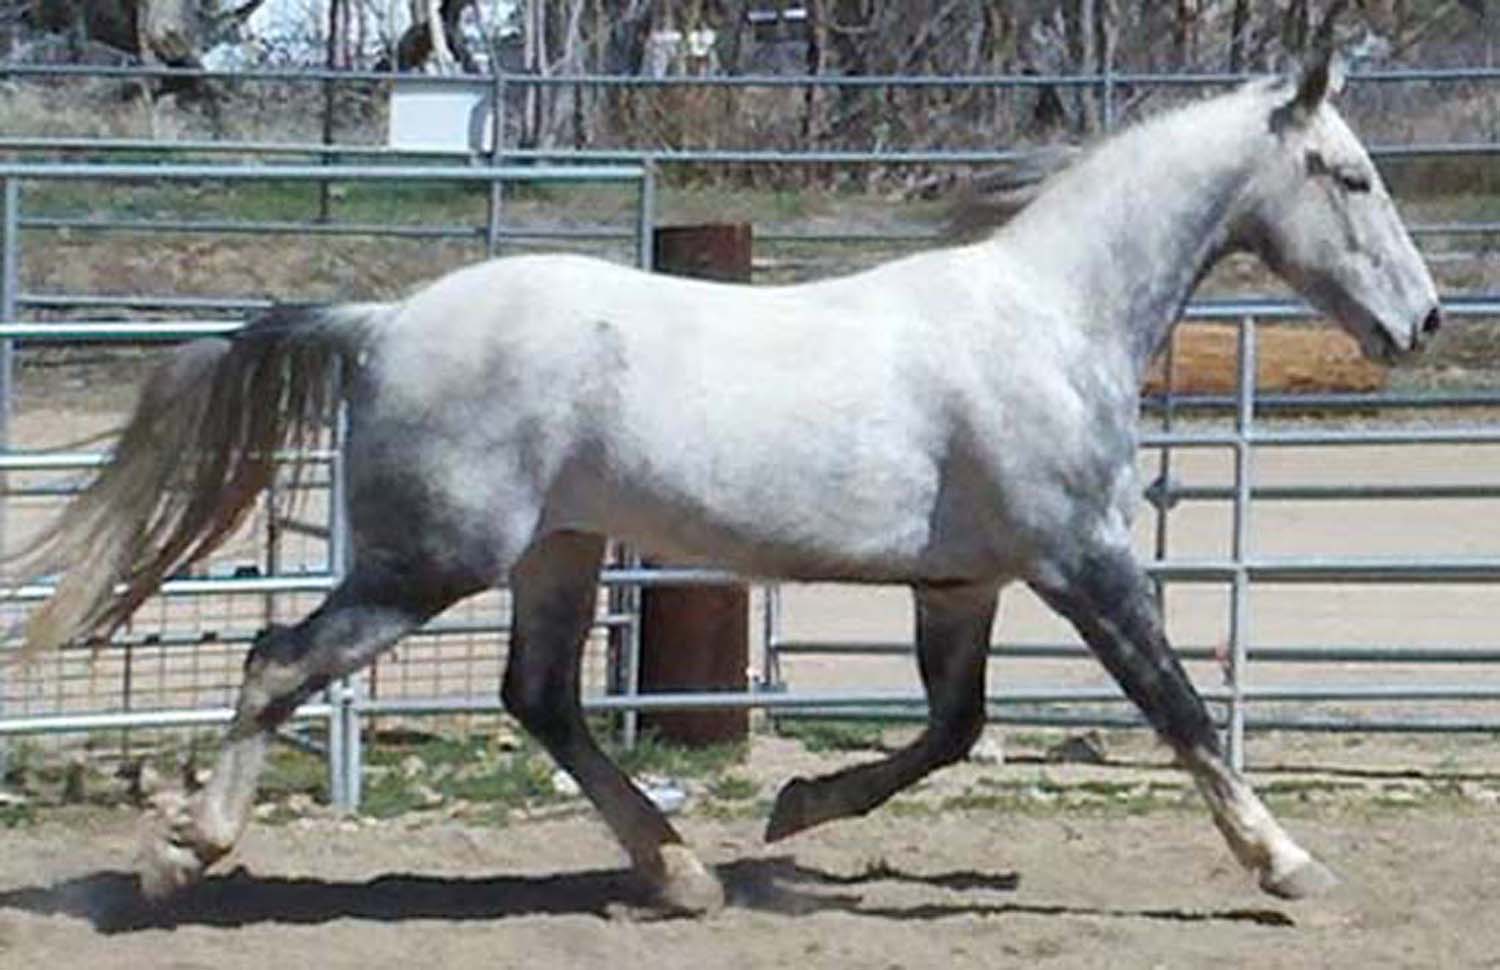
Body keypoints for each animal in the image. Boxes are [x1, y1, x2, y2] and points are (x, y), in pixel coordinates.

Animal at [13, 53, 1440, 914]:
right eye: (1353, 175)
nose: (1421, 322)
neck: (1050, 316)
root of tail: (384, 319)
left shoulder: (962, 582)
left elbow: (952, 728)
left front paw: (798, 809)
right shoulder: (1082, 558)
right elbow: (1180, 708)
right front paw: (1290, 864)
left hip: (558, 550)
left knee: (539, 697)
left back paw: (682, 870)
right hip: (433, 560)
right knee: (279, 659)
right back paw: (181, 856)